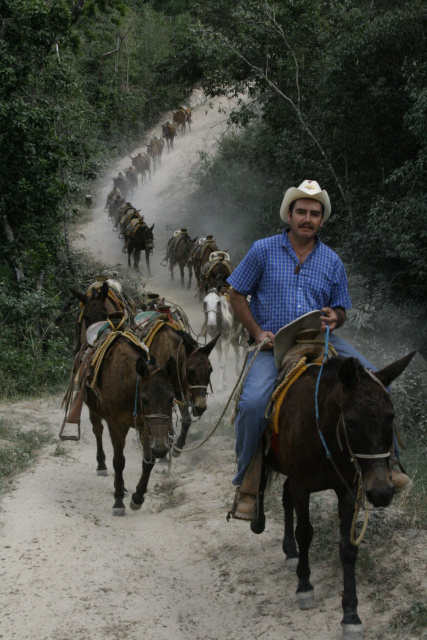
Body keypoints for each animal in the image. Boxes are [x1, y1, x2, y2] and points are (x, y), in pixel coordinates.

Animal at [83, 338, 177, 516]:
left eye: (171, 399)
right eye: (145, 400)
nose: (162, 449)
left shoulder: (144, 425)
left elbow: (148, 460)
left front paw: (137, 497)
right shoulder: (115, 424)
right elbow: (119, 461)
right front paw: (118, 501)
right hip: (94, 411)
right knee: (98, 431)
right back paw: (102, 465)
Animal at [252, 350, 416, 640]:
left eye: (391, 417)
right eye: (350, 422)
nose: (381, 492)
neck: (321, 432)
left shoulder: (347, 489)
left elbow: (348, 547)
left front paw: (350, 614)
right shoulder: (302, 486)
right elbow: (305, 532)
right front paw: (304, 586)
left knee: (284, 497)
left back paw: (290, 552)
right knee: (262, 485)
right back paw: (256, 518)